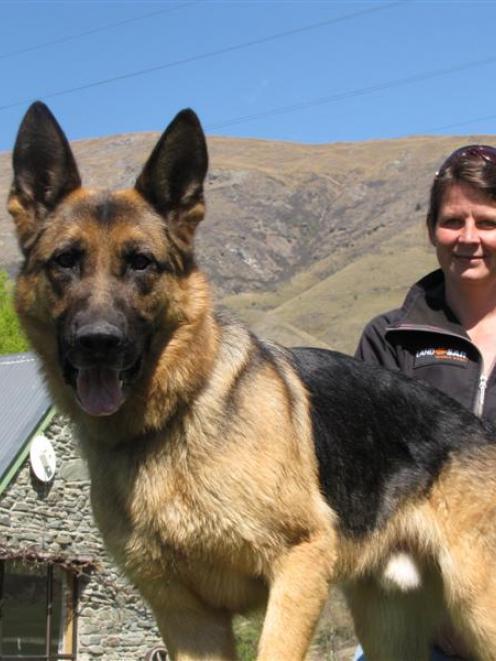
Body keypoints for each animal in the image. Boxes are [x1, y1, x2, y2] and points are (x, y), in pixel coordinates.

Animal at [8, 100, 496, 656]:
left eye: (141, 263)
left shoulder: (299, 564)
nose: (98, 341)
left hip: (478, 607)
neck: (174, 417)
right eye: (65, 261)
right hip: (387, 626)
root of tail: (482, 431)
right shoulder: (185, 616)